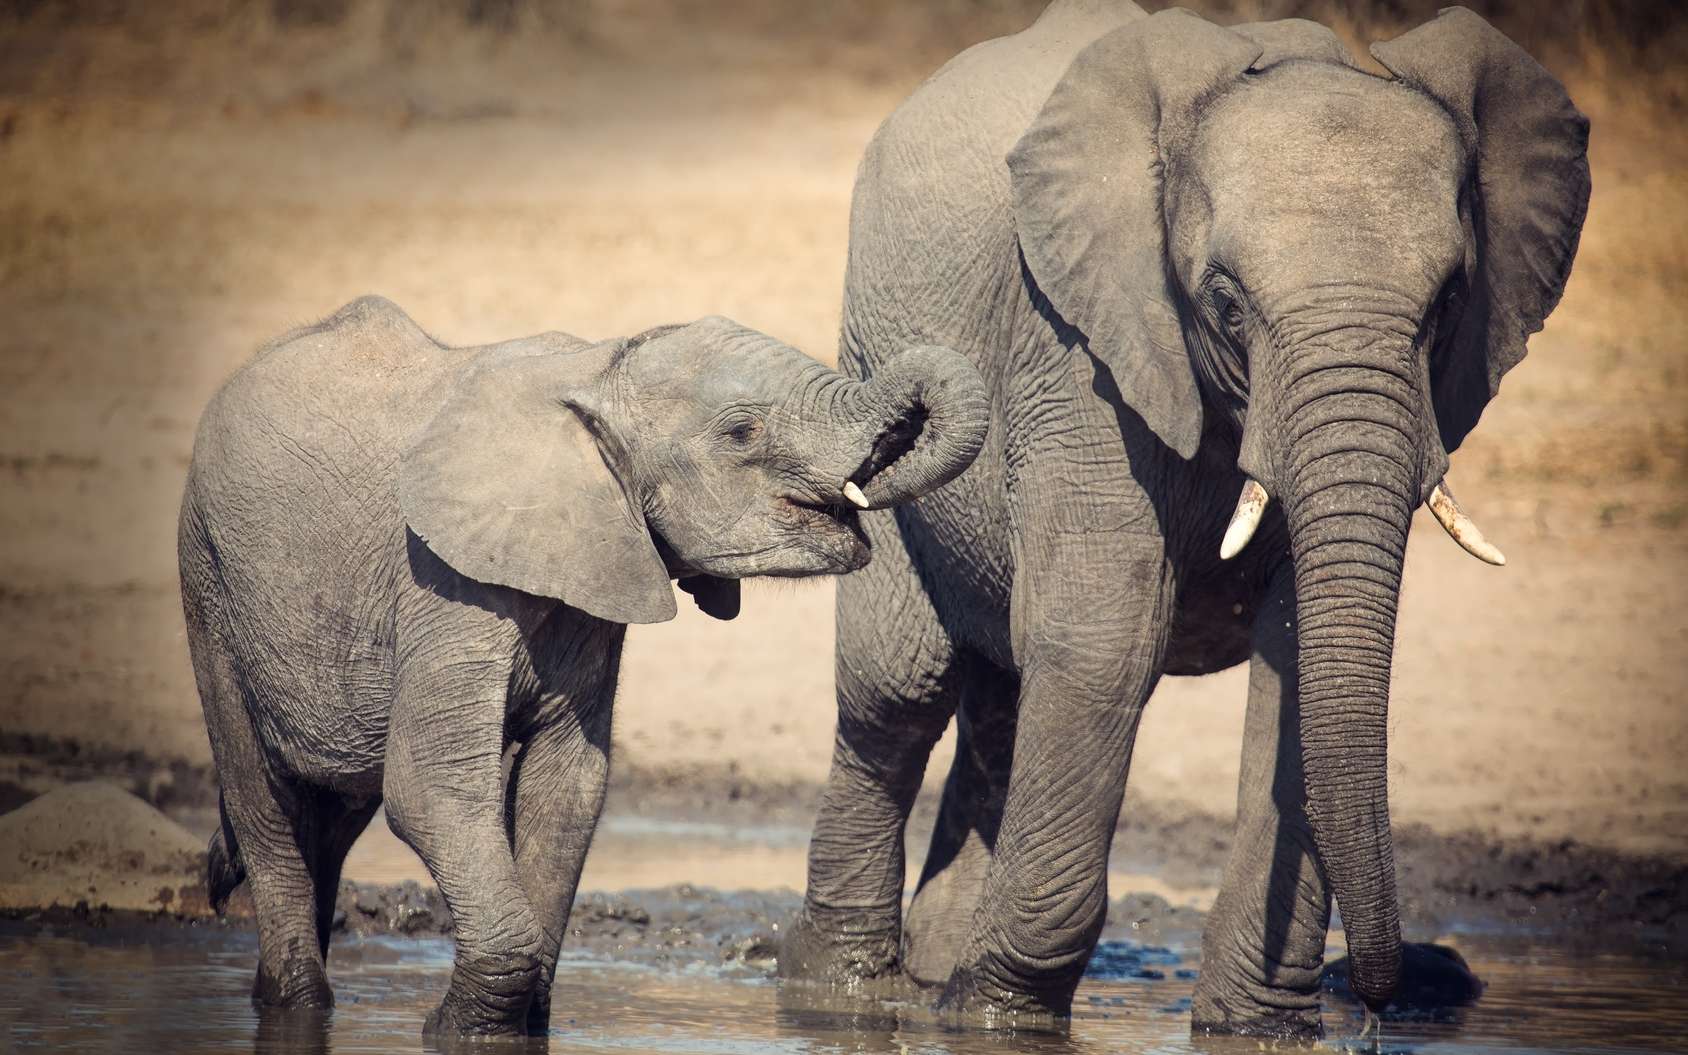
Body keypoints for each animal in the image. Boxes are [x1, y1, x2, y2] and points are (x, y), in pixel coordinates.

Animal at [178, 292, 985, 1033]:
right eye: (741, 431)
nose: (875, 491)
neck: (599, 371)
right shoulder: (442, 582)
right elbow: (432, 787)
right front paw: (453, 1030)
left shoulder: (596, 582)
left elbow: (567, 788)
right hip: (206, 578)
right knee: (265, 806)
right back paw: (299, 1003)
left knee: (332, 815)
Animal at [783, 2, 1586, 1039]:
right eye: (1226, 302)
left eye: (1450, 300)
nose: (1380, 1000)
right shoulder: (1078, 349)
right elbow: (1107, 639)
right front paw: (1001, 1016)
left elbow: (1299, 655)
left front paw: (1257, 1030)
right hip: (877, 383)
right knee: (897, 695)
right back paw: (835, 988)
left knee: (1001, 690)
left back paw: (929, 974)